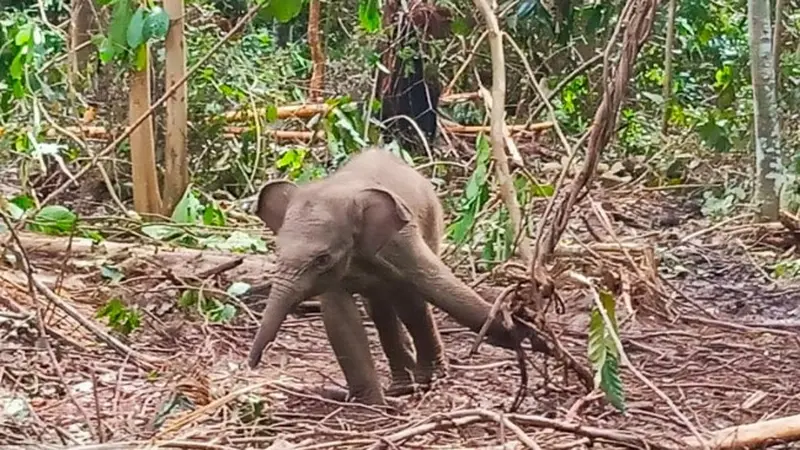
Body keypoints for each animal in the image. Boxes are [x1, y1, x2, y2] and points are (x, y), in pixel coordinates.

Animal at [248, 147, 536, 404]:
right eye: (277, 250)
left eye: (322, 258)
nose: (252, 363)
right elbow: (340, 319)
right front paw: (372, 407)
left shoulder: (402, 239)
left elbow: (439, 290)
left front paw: (525, 329)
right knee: (382, 308)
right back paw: (402, 388)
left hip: (432, 222)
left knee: (409, 302)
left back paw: (425, 380)